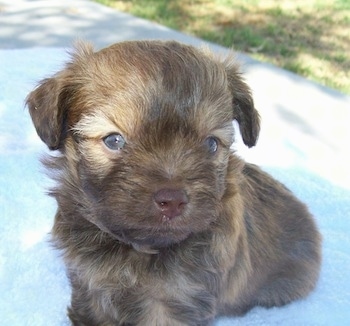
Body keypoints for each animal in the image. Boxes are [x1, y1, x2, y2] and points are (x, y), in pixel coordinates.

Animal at [27, 40, 322, 326]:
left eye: (211, 144)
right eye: (114, 140)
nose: (173, 201)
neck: (139, 249)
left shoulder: (174, 301)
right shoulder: (90, 285)